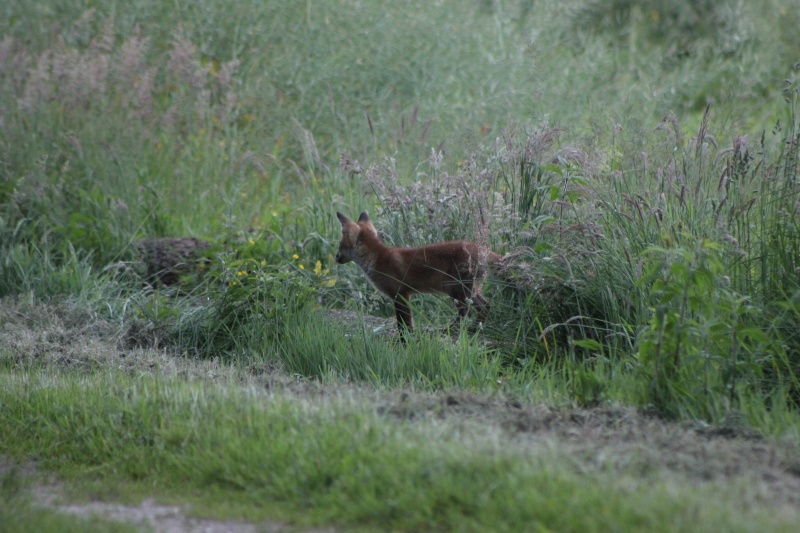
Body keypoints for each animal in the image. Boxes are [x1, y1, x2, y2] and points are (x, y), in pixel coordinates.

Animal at [332, 211, 496, 336]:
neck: (377, 259)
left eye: (340, 245)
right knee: (485, 305)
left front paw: (404, 340)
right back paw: (475, 328)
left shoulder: (400, 294)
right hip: (467, 290)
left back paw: (452, 329)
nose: (336, 257)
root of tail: (481, 249)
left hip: (455, 289)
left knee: (466, 312)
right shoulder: (402, 295)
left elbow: (404, 323)